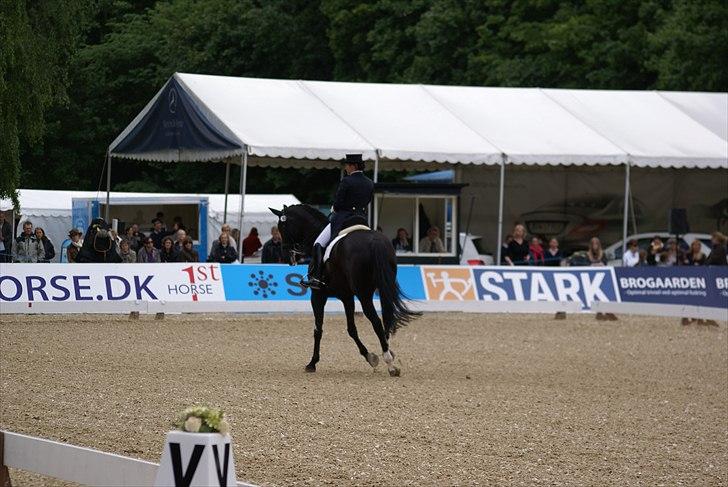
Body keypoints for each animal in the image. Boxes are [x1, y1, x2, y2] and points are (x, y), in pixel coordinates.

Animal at [268, 204, 418, 376]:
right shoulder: (347, 297)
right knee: (386, 318)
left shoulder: (318, 295)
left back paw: (390, 363)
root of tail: (374, 241)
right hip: (383, 288)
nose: (286, 256)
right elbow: (351, 329)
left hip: (364, 294)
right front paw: (370, 357)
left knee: (376, 321)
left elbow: (318, 329)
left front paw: (312, 363)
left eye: (282, 226)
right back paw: (388, 353)